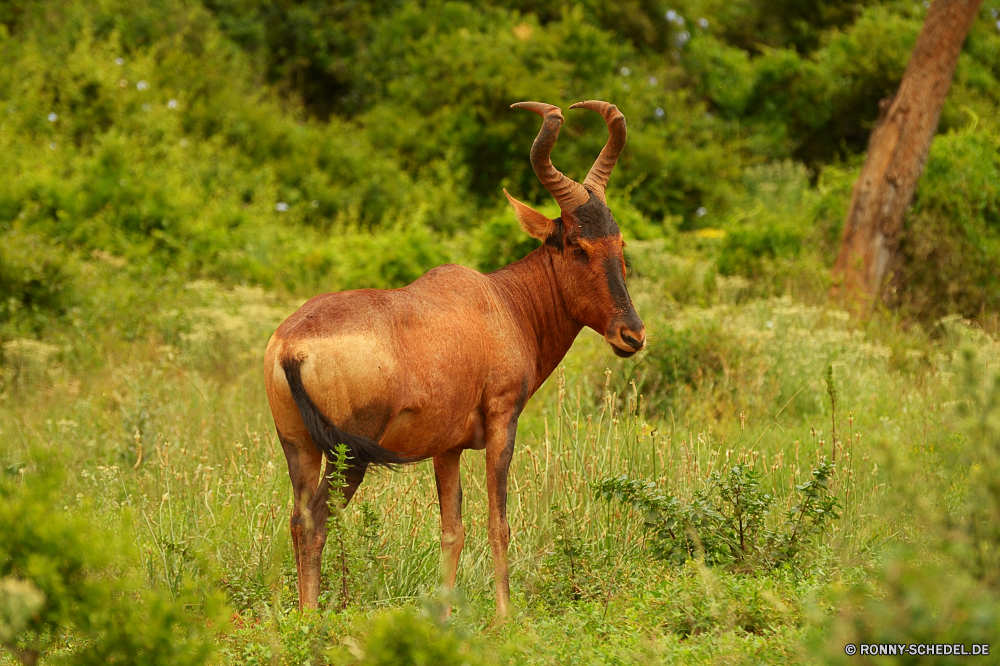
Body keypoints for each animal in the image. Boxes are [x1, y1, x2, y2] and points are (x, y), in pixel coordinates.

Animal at [262, 100, 644, 616]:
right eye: (577, 245)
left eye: (619, 242)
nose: (632, 335)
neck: (501, 302)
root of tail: (291, 346)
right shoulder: (503, 420)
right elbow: (498, 524)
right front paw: (505, 619)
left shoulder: (447, 448)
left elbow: (452, 530)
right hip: (349, 453)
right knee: (318, 521)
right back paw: (313, 619)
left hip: (298, 445)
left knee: (298, 518)